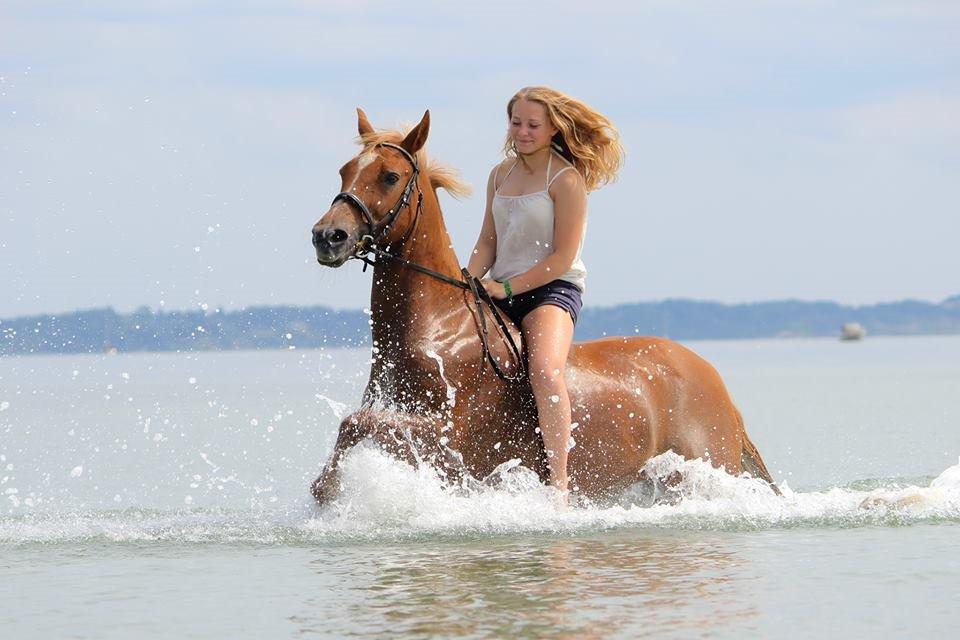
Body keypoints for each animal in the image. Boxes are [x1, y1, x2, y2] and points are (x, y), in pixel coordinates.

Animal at [312, 107, 776, 502]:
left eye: (390, 176)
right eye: (345, 171)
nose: (327, 236)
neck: (439, 326)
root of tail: (718, 384)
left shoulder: (442, 435)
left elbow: (354, 422)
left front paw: (325, 489)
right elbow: (354, 424)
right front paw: (325, 489)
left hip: (701, 471)